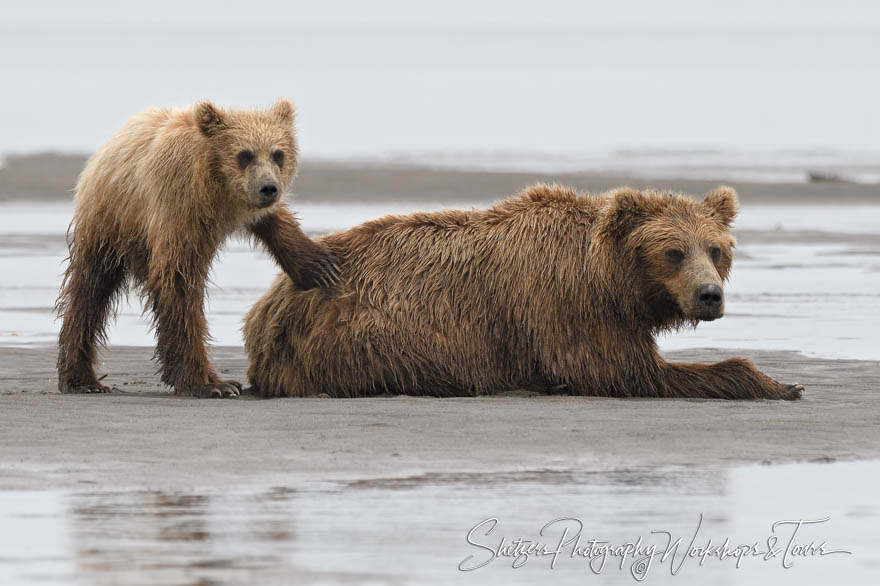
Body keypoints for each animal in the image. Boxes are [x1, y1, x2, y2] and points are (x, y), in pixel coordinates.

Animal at [55, 99, 336, 396]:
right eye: (245, 154)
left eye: (278, 154)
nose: (268, 187)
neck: (217, 188)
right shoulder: (179, 205)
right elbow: (179, 283)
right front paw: (211, 383)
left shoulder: (247, 205)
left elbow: (276, 221)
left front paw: (320, 266)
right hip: (111, 219)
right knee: (90, 291)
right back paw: (82, 380)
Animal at [241, 185, 804, 400]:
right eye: (673, 252)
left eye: (716, 249)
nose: (709, 296)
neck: (608, 279)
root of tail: (267, 307)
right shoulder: (564, 306)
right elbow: (625, 370)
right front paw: (778, 382)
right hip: (362, 327)